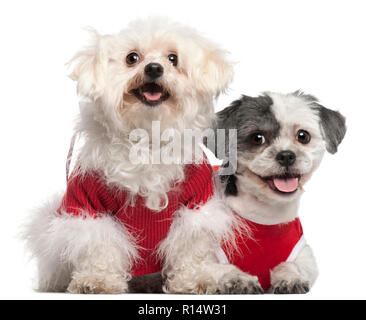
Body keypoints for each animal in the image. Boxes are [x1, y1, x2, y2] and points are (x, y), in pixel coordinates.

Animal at [23, 16, 260, 292]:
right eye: (132, 58)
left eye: (173, 58)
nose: (154, 68)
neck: (146, 138)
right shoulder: (88, 204)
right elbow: (99, 246)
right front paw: (98, 280)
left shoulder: (196, 203)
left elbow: (191, 246)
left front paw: (194, 279)